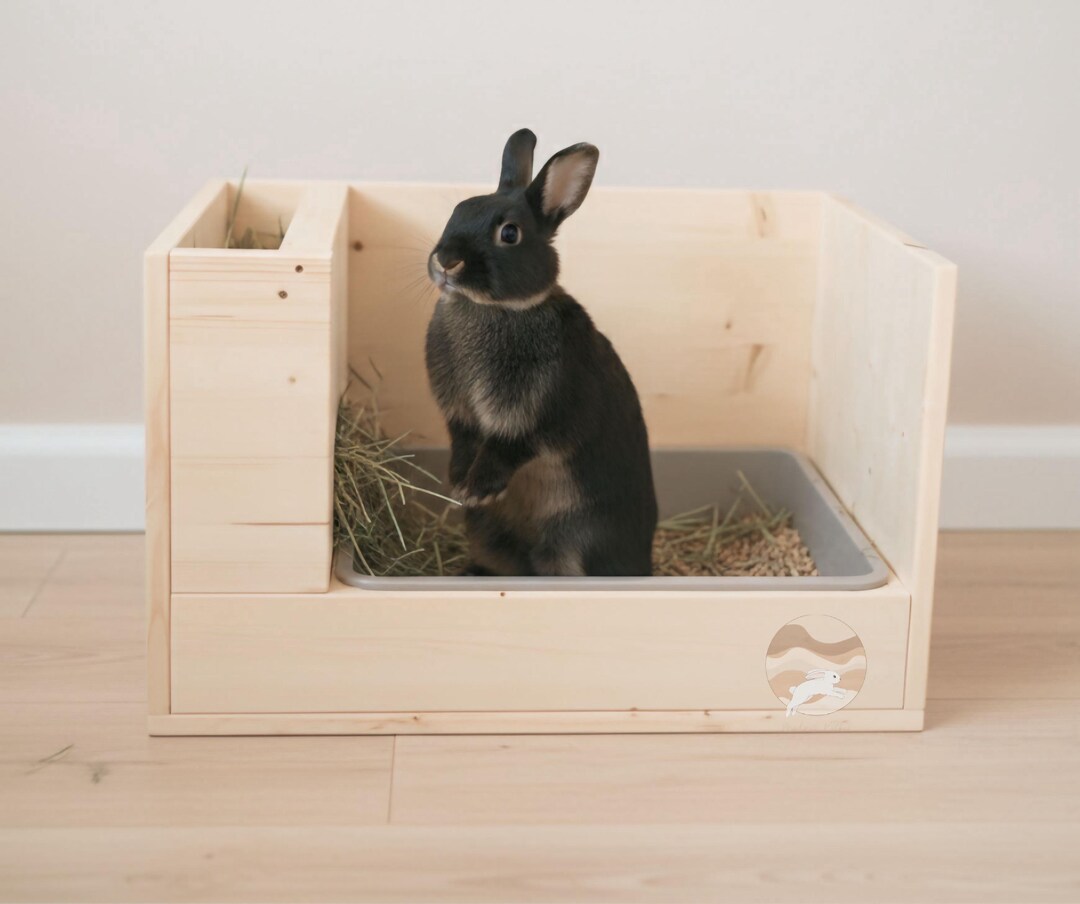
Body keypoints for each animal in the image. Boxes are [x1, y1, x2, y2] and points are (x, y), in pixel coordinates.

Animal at [424, 128, 658, 577]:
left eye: (509, 234)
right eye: (458, 211)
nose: (446, 262)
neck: (495, 309)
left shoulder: (536, 418)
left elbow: (507, 449)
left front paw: (477, 489)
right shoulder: (460, 418)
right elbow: (463, 442)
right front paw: (459, 482)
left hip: (574, 543)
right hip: (488, 534)